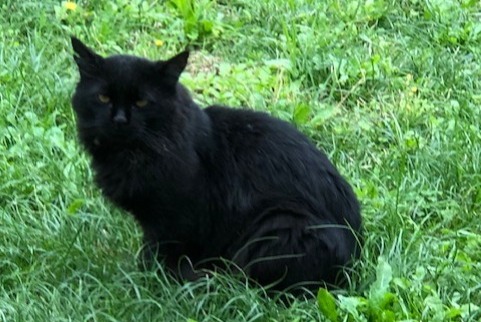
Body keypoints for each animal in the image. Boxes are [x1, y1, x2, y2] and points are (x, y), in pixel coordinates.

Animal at [70, 36, 360, 294]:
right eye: (103, 98)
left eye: (141, 102)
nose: (119, 120)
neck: (131, 155)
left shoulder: (173, 219)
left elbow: (159, 252)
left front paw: (152, 280)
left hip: (280, 225)